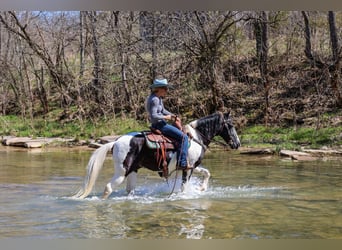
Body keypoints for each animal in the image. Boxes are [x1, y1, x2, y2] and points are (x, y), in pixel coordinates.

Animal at [71, 111, 240, 199]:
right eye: (231, 125)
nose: (237, 144)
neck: (196, 137)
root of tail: (115, 142)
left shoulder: (192, 166)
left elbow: (207, 172)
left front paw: (202, 188)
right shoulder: (187, 168)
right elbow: (184, 187)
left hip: (132, 171)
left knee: (129, 190)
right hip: (122, 172)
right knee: (108, 188)